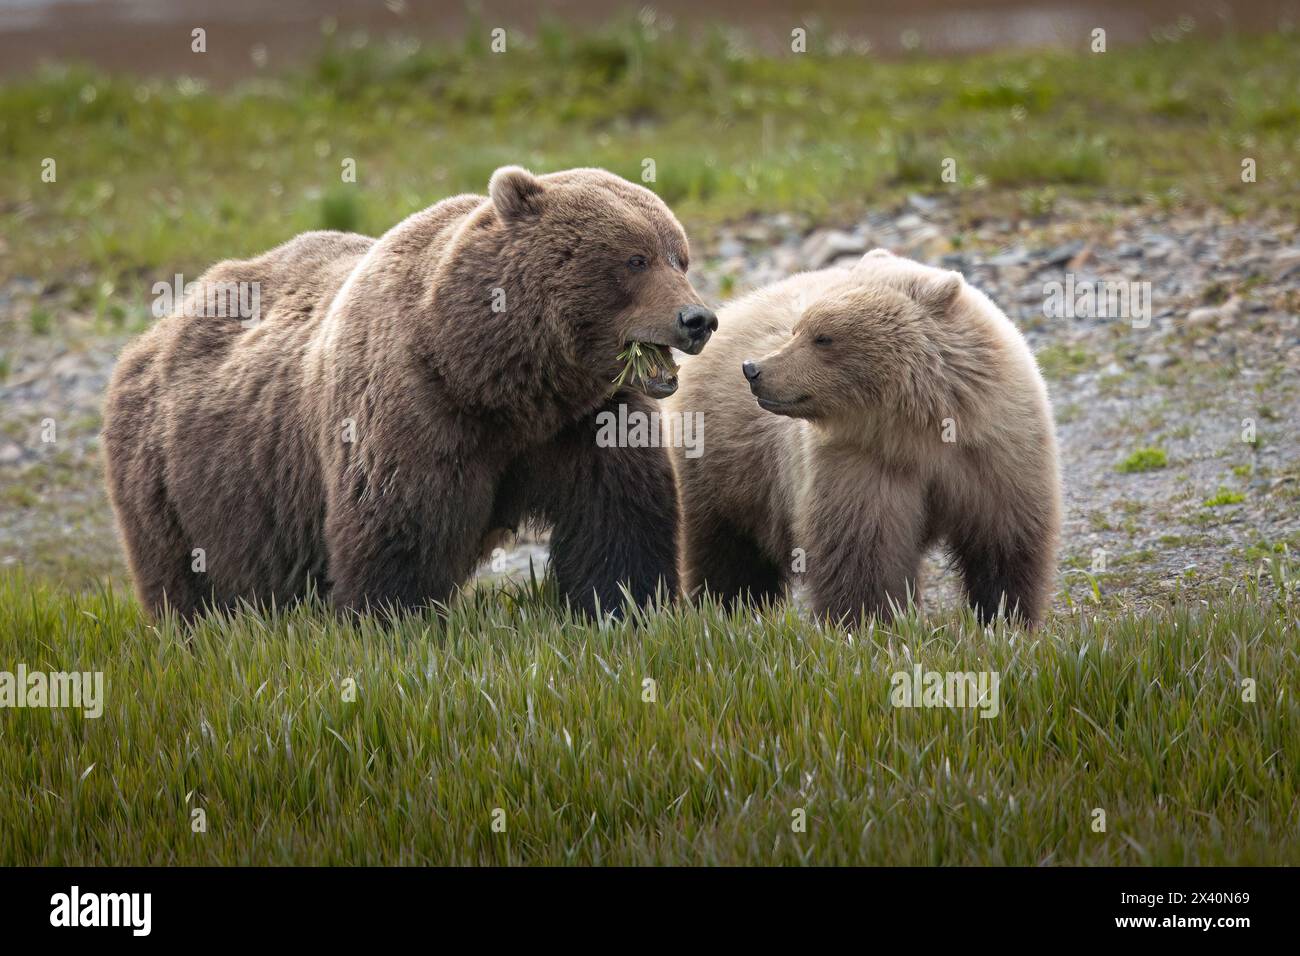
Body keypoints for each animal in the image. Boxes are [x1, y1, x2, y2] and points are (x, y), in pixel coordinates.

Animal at [102, 166, 717, 621]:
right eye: (635, 258)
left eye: (679, 255)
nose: (698, 319)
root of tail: (153, 332)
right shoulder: (417, 407)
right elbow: (401, 524)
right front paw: (394, 618)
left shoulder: (589, 420)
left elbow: (619, 517)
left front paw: (626, 606)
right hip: (179, 479)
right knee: (185, 575)